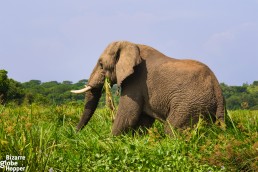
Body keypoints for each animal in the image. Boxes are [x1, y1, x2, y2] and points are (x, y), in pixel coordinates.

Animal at [71, 41, 226, 135]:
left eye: (101, 64)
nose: (74, 133)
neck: (132, 45)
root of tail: (217, 89)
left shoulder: (136, 81)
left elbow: (127, 115)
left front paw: (109, 142)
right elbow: (142, 120)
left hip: (189, 105)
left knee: (171, 129)